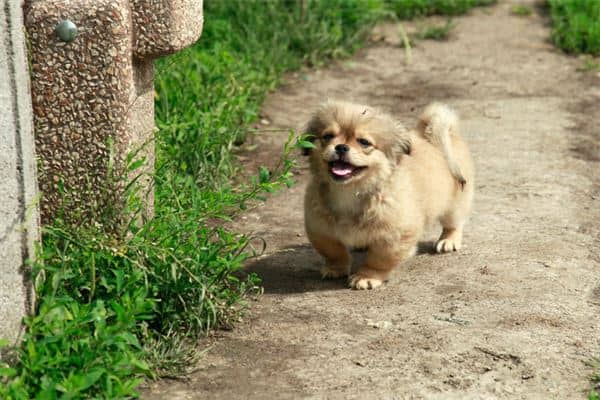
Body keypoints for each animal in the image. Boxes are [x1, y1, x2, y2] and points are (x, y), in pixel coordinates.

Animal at [304, 99, 474, 290]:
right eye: (327, 136)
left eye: (364, 142)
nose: (341, 147)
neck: (350, 193)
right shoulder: (320, 229)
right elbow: (334, 251)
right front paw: (335, 269)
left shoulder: (394, 236)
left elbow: (378, 260)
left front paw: (366, 277)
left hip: (454, 205)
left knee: (453, 224)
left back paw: (448, 241)